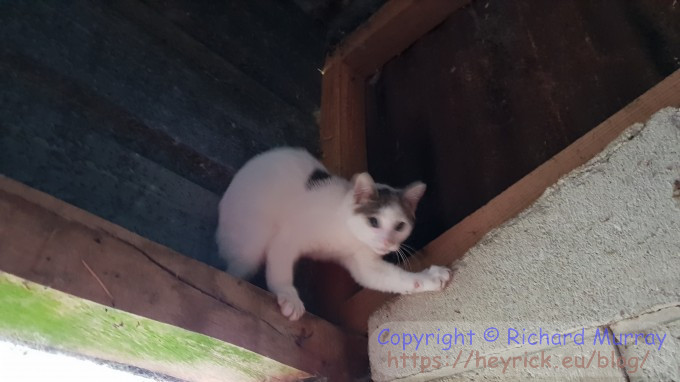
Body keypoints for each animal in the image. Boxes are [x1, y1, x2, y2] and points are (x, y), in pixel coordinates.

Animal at [216, 148, 452, 320]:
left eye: (400, 226)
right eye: (373, 221)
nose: (387, 243)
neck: (346, 233)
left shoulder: (365, 264)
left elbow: (395, 278)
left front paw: (429, 278)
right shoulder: (287, 238)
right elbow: (280, 271)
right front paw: (288, 295)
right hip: (251, 241)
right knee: (238, 268)